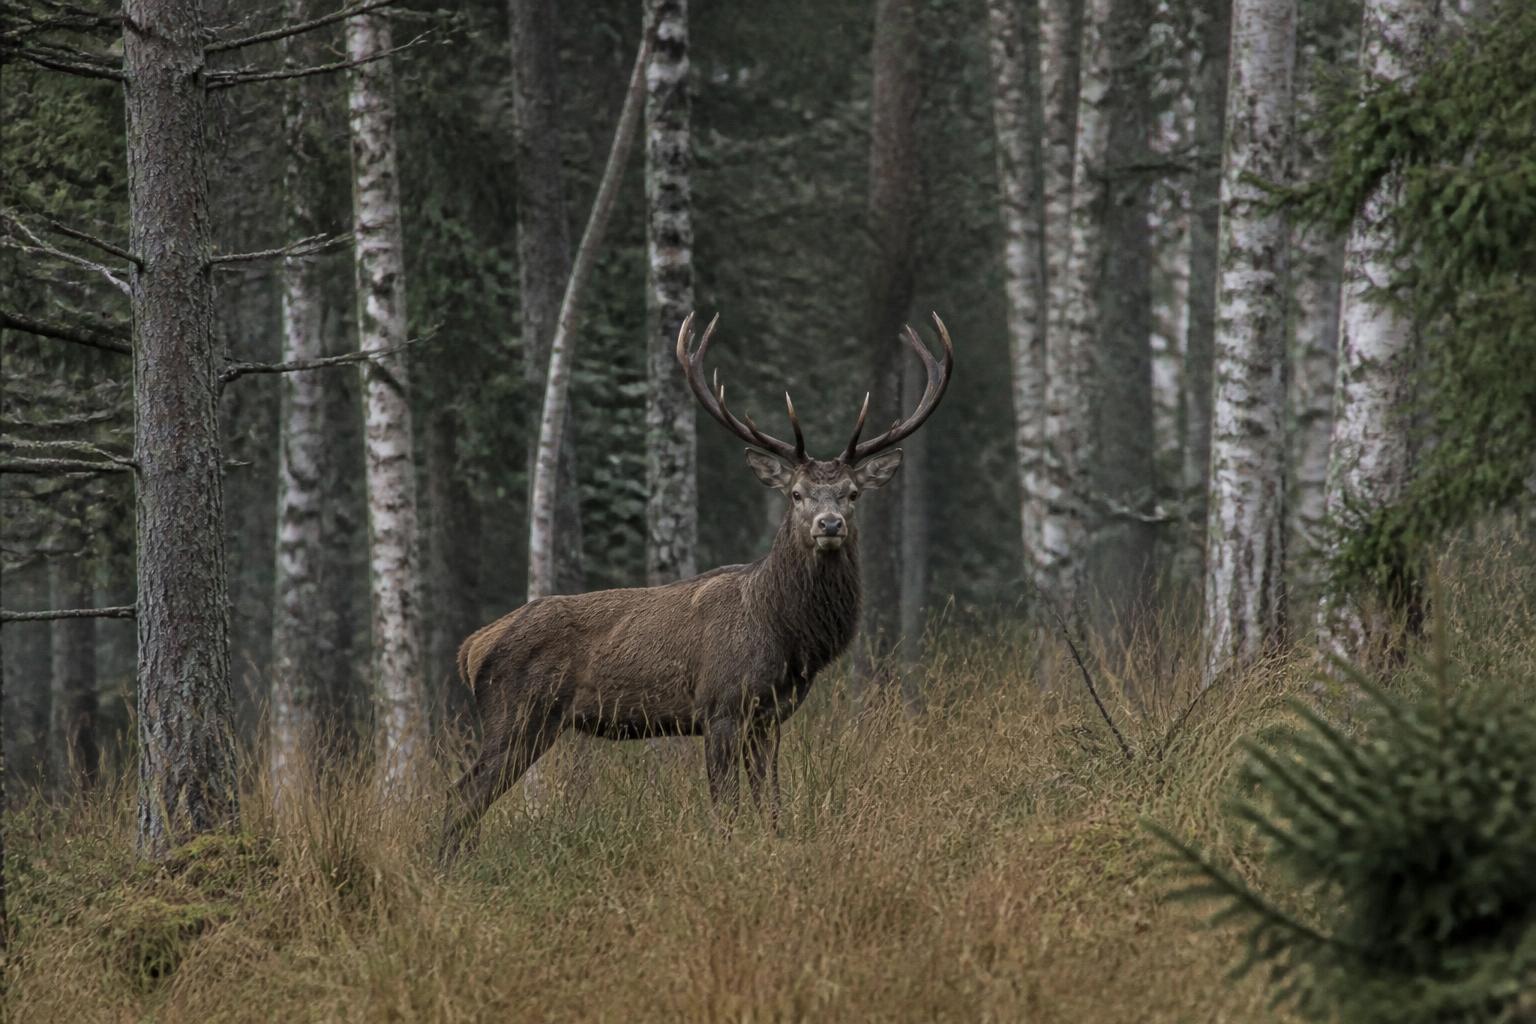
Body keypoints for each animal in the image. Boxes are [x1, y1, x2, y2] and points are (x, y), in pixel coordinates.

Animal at [439, 311, 953, 861]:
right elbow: (725, 808)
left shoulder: (768, 716)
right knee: (461, 796)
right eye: (796, 494)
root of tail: (472, 647)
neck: (786, 634)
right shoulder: (721, 704)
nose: (829, 524)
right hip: (516, 713)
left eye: (853, 493)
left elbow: (772, 804)